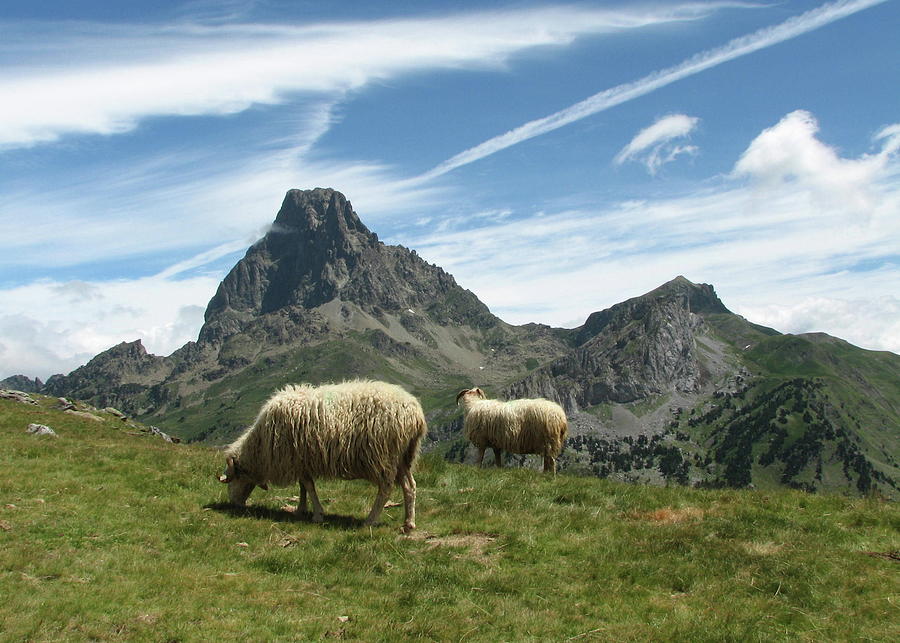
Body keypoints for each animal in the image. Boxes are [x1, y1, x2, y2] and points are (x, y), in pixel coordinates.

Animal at [220, 382, 428, 532]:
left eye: (234, 478)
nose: (234, 504)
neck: (261, 446)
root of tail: (416, 414)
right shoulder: (301, 462)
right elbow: (303, 487)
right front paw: (301, 510)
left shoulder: (298, 459)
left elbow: (309, 487)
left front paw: (317, 515)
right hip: (403, 458)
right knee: (410, 486)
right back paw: (409, 523)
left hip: (384, 456)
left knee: (385, 489)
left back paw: (370, 520)